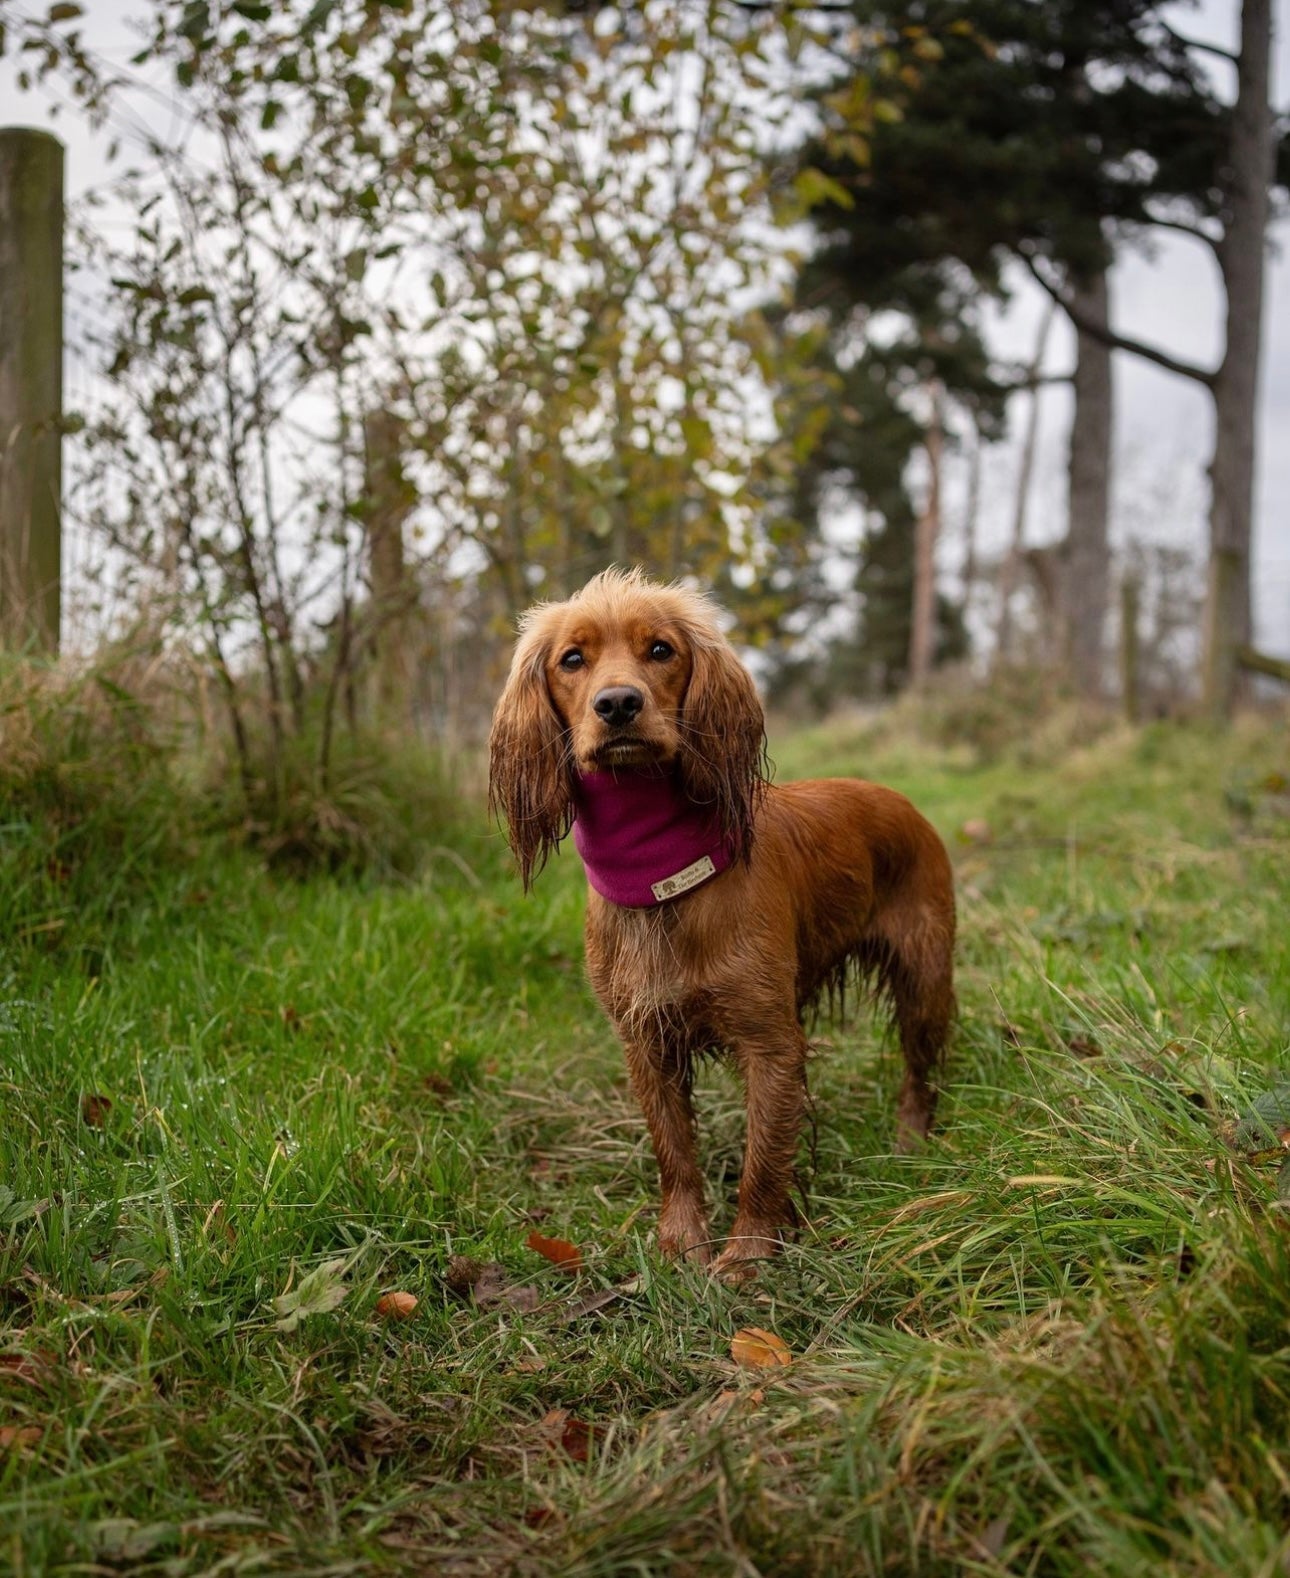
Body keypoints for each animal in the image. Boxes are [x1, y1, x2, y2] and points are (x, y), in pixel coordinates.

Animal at [489, 574, 953, 1275]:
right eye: (572, 659)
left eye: (660, 649)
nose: (618, 704)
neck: (661, 877)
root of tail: (902, 800)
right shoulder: (647, 1044)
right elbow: (674, 1154)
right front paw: (682, 1242)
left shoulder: (770, 1044)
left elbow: (763, 1160)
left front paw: (747, 1257)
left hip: (924, 983)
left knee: (918, 1074)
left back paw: (910, 1142)